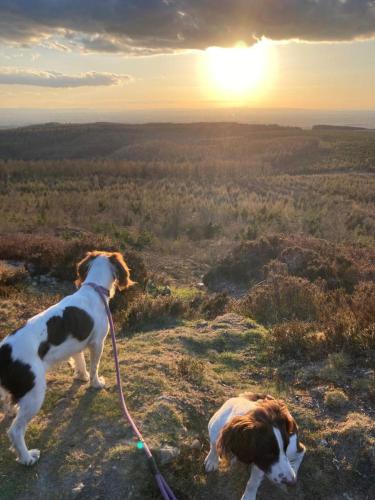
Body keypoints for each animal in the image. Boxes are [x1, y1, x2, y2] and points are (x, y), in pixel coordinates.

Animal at [0, 252, 134, 466]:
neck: (93, 290)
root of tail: (4, 351)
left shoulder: (76, 345)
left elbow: (80, 363)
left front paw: (82, 377)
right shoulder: (98, 342)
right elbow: (94, 366)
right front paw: (96, 383)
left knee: (7, 404)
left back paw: (12, 411)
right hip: (35, 394)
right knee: (15, 430)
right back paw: (27, 457)